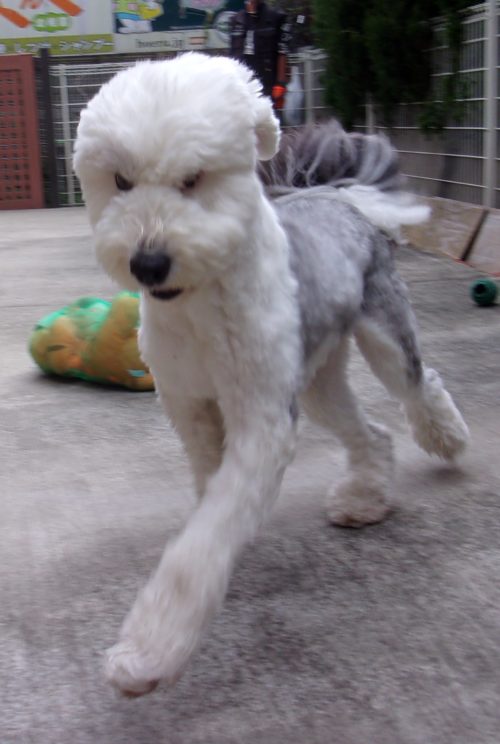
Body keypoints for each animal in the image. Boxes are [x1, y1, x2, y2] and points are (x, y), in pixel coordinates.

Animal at [73, 52, 469, 696]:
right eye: (122, 181)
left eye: (194, 178)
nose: (148, 262)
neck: (199, 306)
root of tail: (335, 198)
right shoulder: (190, 406)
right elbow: (212, 497)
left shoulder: (261, 420)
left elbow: (203, 542)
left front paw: (149, 653)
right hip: (316, 383)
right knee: (372, 433)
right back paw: (364, 500)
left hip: (381, 340)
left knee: (420, 384)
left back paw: (448, 439)